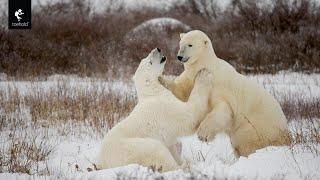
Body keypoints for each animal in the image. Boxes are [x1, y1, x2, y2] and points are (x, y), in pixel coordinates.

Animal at [159, 30, 292, 156]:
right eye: (180, 43)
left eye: (190, 44)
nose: (180, 56)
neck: (208, 66)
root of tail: (286, 132)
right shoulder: (190, 78)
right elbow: (182, 92)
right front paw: (161, 79)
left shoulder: (220, 88)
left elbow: (223, 109)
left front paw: (203, 134)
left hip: (256, 128)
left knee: (247, 142)